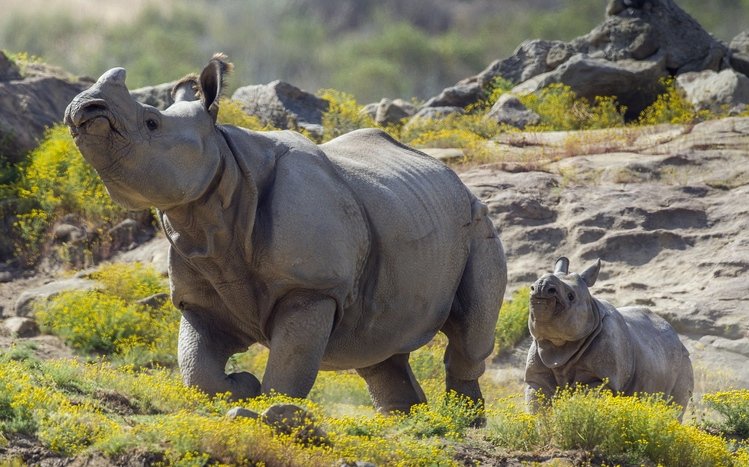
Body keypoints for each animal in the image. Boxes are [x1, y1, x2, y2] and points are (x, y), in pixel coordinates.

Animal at [63, 55, 507, 417]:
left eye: (151, 122)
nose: (84, 109)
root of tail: (456, 180)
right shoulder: (200, 293)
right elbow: (197, 370)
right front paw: (239, 387)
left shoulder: (311, 288)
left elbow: (290, 363)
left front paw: (266, 407)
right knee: (377, 346)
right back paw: (407, 420)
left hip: (478, 223)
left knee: (468, 332)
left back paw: (461, 420)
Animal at [524, 257, 693, 416]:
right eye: (531, 288)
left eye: (571, 296)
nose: (541, 288)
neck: (559, 344)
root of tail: (678, 338)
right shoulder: (537, 375)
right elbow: (538, 407)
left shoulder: (601, 378)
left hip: (683, 359)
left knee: (674, 408)